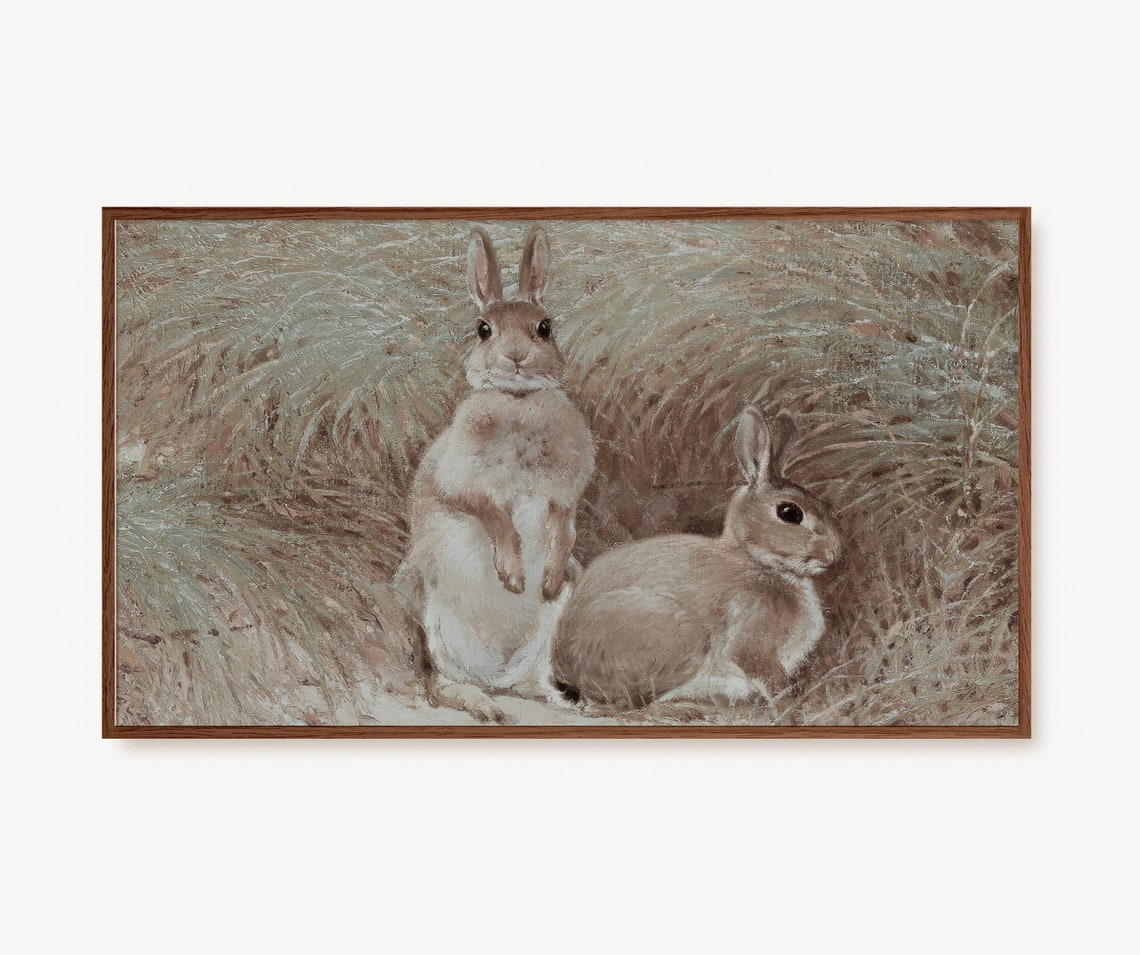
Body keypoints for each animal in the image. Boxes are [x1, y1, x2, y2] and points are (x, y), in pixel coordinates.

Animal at [395, 226, 594, 724]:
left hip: (554, 622)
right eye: (483, 329)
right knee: (436, 682)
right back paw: (482, 704)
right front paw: (513, 577)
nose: (517, 357)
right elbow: (493, 514)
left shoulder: (564, 494)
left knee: (536, 678)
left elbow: (564, 525)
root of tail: (498, 673)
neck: (518, 403)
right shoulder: (461, 482)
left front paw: (545, 579)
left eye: (545, 327)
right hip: (427, 609)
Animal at [550, 405, 840, 715]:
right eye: (790, 513)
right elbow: (772, 681)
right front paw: (790, 707)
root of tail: (565, 669)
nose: (834, 553)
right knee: (622, 706)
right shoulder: (752, 645)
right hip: (682, 638)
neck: (759, 562)